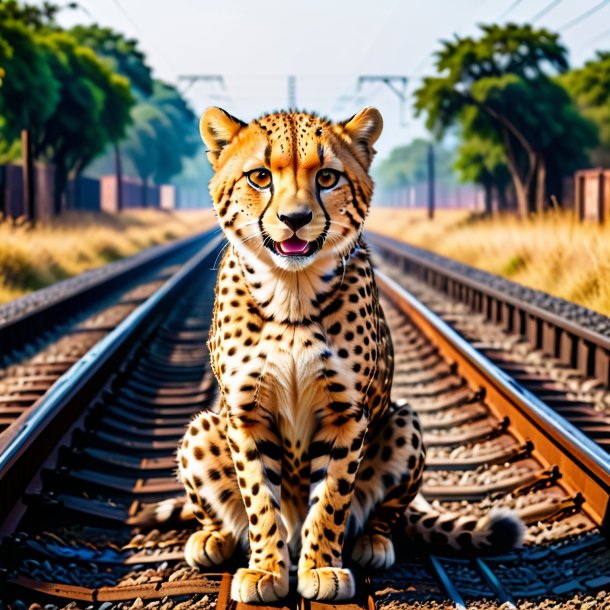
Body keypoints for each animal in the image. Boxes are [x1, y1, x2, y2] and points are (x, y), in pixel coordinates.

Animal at [175, 107, 524, 600]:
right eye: (260, 176)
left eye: (327, 177)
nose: (295, 218)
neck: (291, 290)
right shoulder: (246, 416)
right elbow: (260, 501)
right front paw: (266, 570)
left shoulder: (347, 414)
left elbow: (332, 499)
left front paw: (320, 568)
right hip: (201, 428)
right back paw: (212, 539)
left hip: (404, 421)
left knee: (382, 514)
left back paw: (371, 543)